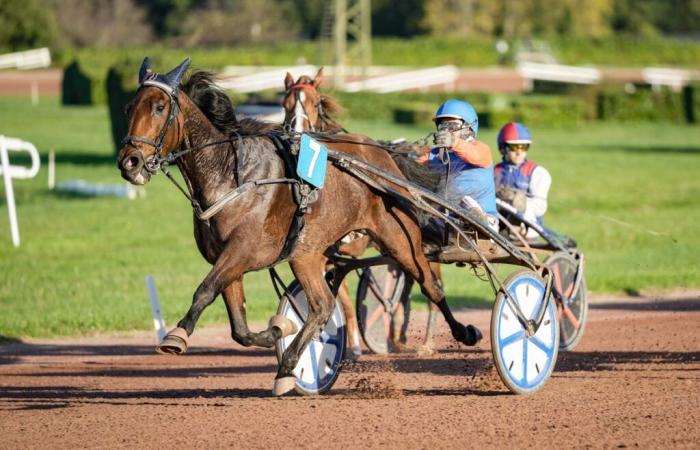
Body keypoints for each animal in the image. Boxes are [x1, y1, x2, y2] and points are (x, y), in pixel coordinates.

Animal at [119, 58, 482, 396]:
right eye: (129, 107)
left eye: (159, 107)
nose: (129, 162)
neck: (231, 174)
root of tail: (384, 157)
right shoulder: (227, 259)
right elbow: (239, 327)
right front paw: (278, 329)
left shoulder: (242, 250)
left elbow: (204, 290)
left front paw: (176, 334)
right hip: (308, 251)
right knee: (323, 305)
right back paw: (291, 366)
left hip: (398, 238)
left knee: (430, 286)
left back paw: (463, 332)